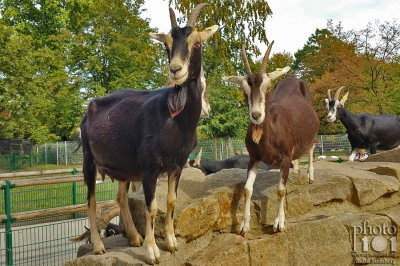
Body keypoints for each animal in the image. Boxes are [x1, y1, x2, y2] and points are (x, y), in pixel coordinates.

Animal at [79, 4, 217, 264]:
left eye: (197, 42)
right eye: (167, 44)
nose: (175, 69)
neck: (175, 119)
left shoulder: (177, 165)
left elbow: (171, 202)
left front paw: (171, 243)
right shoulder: (150, 168)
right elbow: (151, 208)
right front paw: (152, 252)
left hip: (122, 167)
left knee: (120, 198)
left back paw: (134, 238)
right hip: (89, 160)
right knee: (90, 201)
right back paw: (99, 247)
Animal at [223, 42, 320, 237]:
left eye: (267, 88)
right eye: (244, 90)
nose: (256, 115)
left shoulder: (285, 158)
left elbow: (281, 190)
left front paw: (279, 223)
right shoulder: (253, 158)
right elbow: (247, 189)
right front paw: (244, 226)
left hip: (312, 132)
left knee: (312, 146)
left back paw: (310, 175)